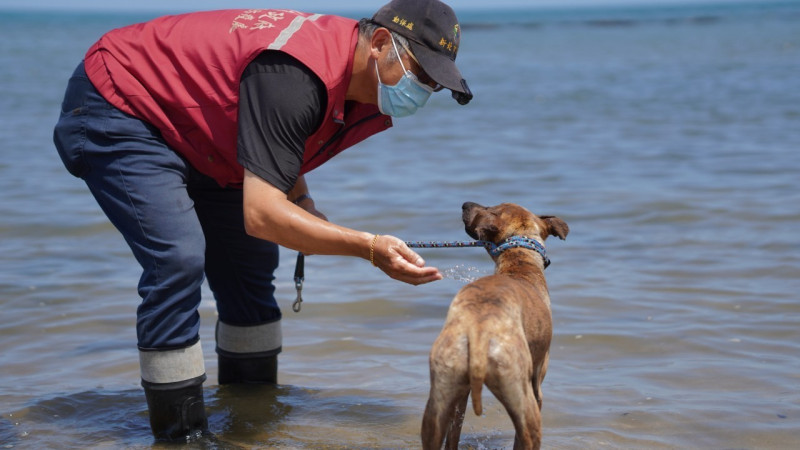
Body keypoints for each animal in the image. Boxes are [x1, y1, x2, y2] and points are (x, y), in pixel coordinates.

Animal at [418, 203, 568, 450]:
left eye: (489, 207)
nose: (465, 204)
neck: (519, 261)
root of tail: (479, 329)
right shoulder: (537, 385)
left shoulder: (461, 397)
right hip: (525, 401)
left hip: (439, 402)